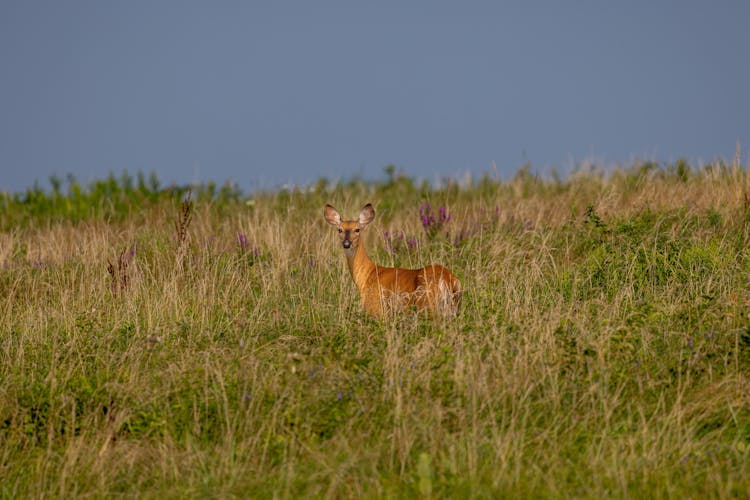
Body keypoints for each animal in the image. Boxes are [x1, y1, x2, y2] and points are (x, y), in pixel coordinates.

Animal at [324, 202, 462, 316]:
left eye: (357, 229)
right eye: (339, 230)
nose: (346, 244)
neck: (367, 276)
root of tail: (448, 279)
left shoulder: (376, 308)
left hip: (427, 305)